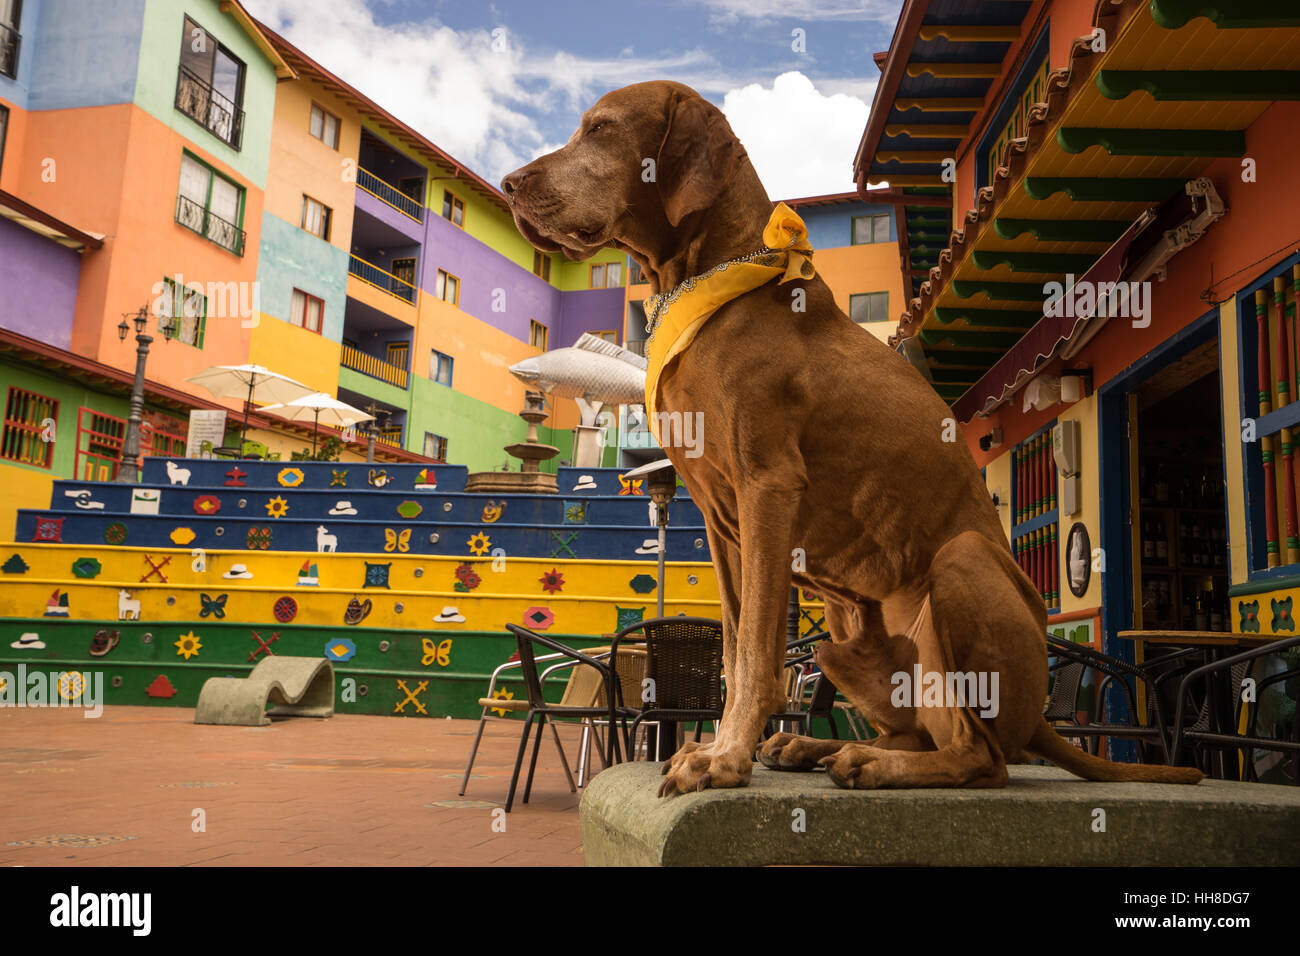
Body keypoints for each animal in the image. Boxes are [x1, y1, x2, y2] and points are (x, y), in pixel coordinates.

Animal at [501, 82, 1201, 796]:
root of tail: (1041, 720)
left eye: (601, 128)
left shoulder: (767, 488)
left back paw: (873, 761)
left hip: (963, 565)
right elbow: (732, 645)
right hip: (840, 643)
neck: (711, 280)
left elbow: (759, 652)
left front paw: (724, 759)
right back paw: (816, 746)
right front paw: (726, 746)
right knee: (920, 732)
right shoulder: (721, 521)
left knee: (982, 757)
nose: (509, 184)